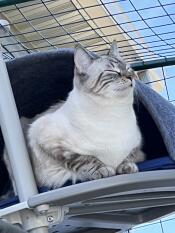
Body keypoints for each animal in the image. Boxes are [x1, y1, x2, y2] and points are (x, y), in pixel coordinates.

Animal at [3, 41, 144, 191]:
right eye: (113, 72)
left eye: (128, 68)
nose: (131, 76)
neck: (115, 113)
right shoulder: (45, 138)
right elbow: (83, 159)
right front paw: (102, 169)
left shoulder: (137, 144)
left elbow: (129, 156)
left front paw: (126, 167)